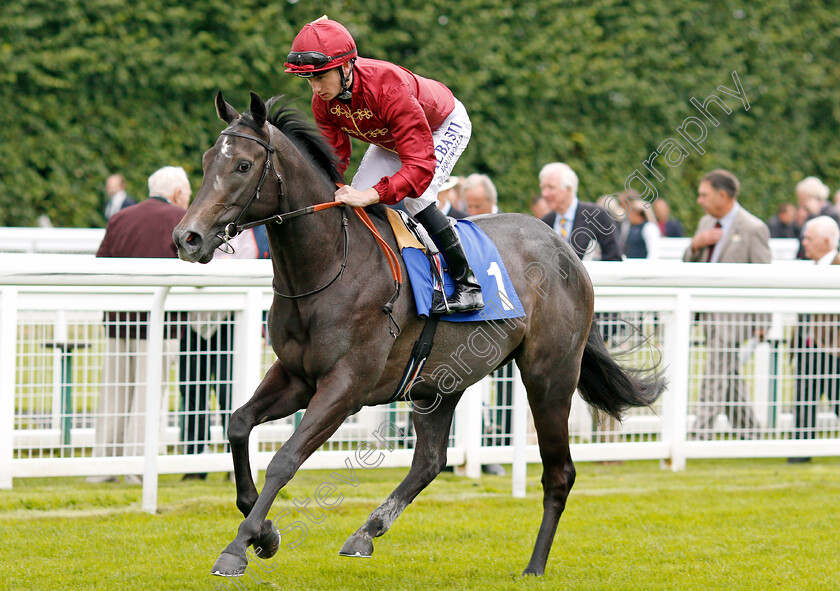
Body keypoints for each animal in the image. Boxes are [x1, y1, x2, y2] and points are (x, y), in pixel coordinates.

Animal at [174, 92, 668, 580]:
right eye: (206, 161)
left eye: (242, 165)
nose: (187, 238)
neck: (331, 264)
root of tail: (565, 249)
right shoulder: (296, 375)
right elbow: (239, 424)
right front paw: (265, 531)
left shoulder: (345, 386)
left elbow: (284, 460)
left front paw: (239, 546)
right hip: (443, 379)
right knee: (430, 460)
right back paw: (366, 532)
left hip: (550, 377)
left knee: (559, 472)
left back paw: (534, 566)